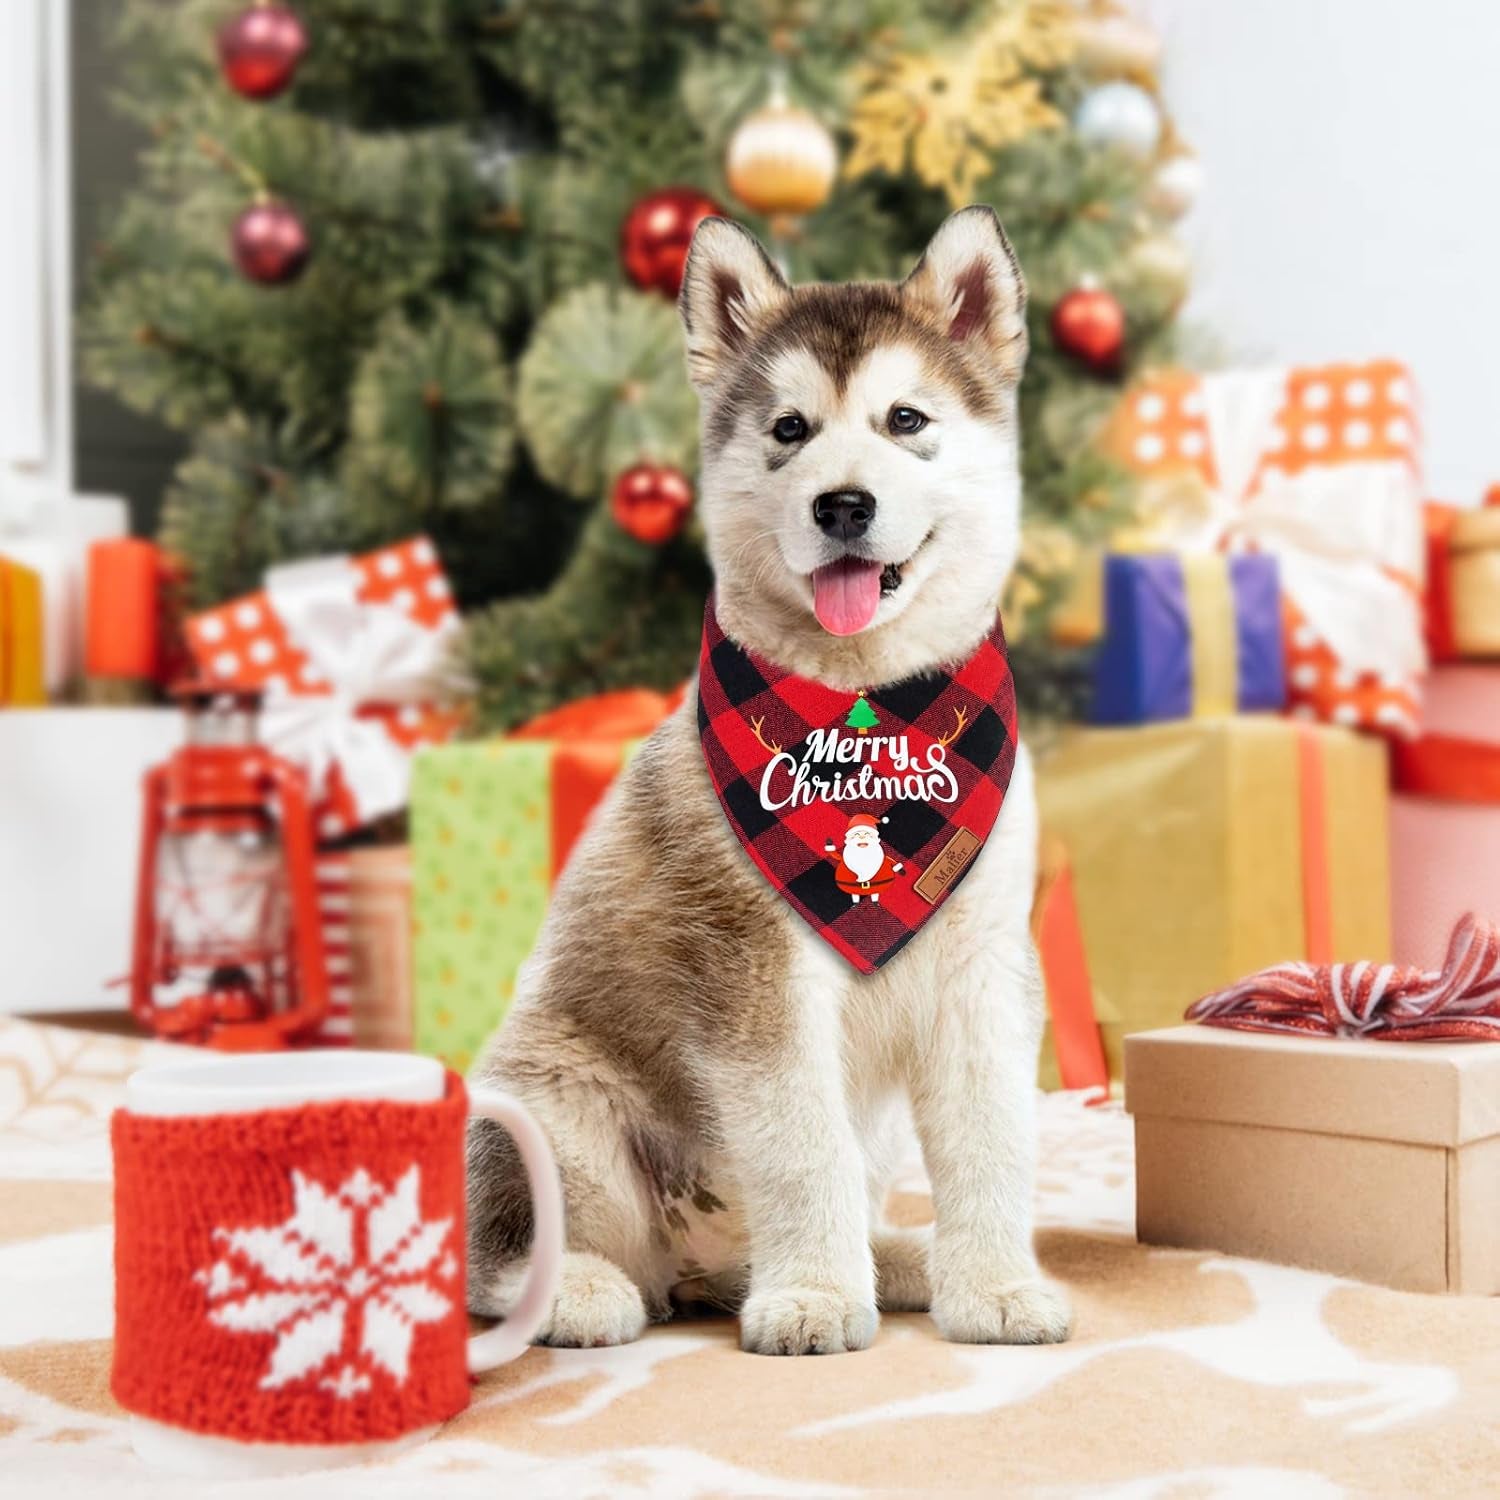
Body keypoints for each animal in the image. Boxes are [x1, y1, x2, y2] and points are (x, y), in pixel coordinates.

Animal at [465, 208, 1068, 1362]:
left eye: (905, 418)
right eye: (790, 428)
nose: (843, 503)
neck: (869, 714)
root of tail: (693, 1265)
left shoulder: (981, 966)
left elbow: (994, 1139)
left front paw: (994, 1287)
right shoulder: (755, 977)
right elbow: (800, 1146)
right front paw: (819, 1299)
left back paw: (892, 1263)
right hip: (549, 1103)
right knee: (500, 1251)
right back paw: (584, 1293)